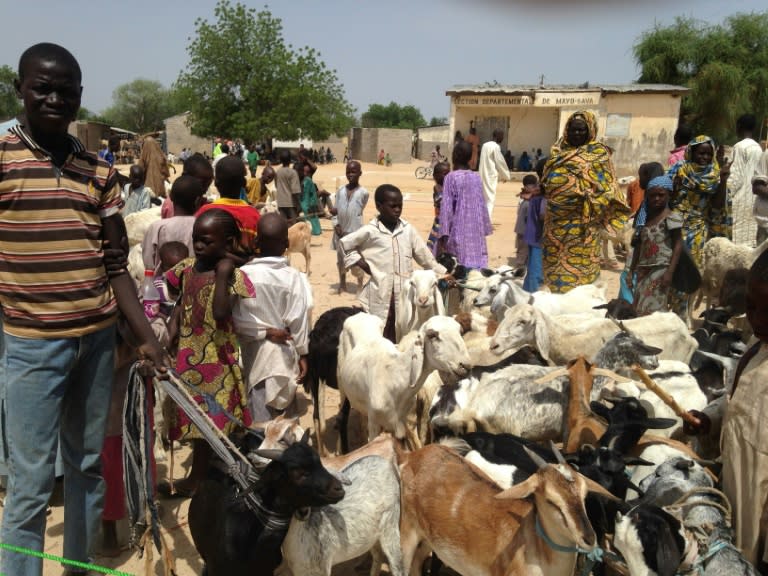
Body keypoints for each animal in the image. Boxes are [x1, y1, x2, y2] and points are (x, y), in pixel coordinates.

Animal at [340, 316, 472, 450]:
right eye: (432, 335)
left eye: (460, 332)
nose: (465, 366)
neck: (395, 376)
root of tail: (360, 315)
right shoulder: (374, 424)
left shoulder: (405, 423)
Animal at [400, 444, 596, 576]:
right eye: (550, 500)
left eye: (584, 494)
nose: (589, 538)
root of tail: (412, 456)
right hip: (407, 534)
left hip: (427, 539)